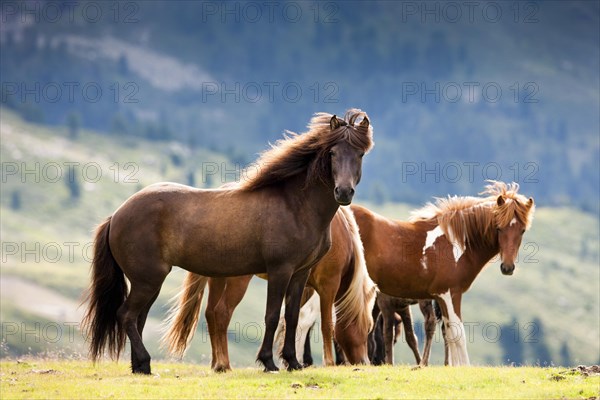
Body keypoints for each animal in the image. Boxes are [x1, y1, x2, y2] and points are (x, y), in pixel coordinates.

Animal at [164, 206, 378, 372]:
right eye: (368, 327)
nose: (364, 361)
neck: (345, 236)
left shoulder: (303, 285)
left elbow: (294, 319)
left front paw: (291, 359)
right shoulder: (328, 285)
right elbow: (326, 323)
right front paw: (329, 362)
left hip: (218, 278)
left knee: (210, 314)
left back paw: (217, 363)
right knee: (221, 312)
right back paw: (224, 364)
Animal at [350, 181, 536, 366]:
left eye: (522, 230)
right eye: (498, 228)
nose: (507, 267)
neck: (457, 243)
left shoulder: (440, 298)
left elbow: (450, 334)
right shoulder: (450, 294)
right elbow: (458, 334)